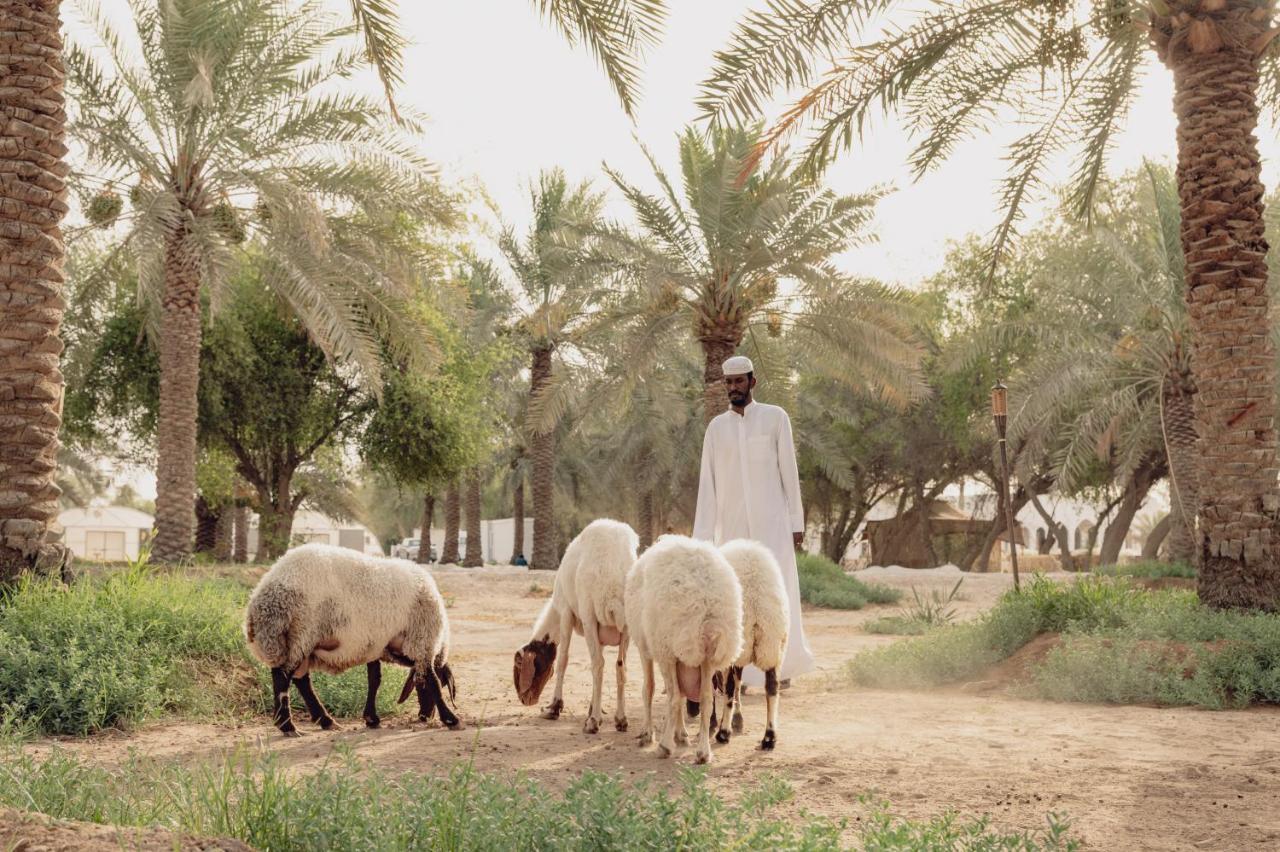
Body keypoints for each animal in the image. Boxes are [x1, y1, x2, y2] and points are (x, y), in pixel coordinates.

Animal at [244, 539, 460, 731]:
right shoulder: (422, 640)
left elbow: (374, 679)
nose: (425, 716)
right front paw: (450, 718)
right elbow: (431, 678)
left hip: (299, 641)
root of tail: (265, 596)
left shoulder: (375, 644)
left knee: (300, 679)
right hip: (302, 633)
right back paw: (287, 725)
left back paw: (325, 721)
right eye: (443, 683)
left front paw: (371, 718)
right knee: (283, 676)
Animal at [512, 514, 637, 731]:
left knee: (598, 664)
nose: (525, 700)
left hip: (589, 614)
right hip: (625, 624)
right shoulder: (600, 632)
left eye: (520, 664)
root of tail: (613, 577)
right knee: (619, 666)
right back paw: (620, 719)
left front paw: (554, 707)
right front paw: (593, 708)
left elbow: (563, 660)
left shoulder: (566, 613)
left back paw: (593, 723)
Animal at [622, 532, 742, 762]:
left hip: (670, 648)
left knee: (674, 698)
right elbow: (686, 693)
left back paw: (665, 746)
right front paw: (681, 734)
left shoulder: (647, 648)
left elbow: (649, 688)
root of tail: (708, 602)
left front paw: (648, 734)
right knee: (706, 700)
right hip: (707, 655)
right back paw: (703, 751)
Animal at [711, 539, 788, 747]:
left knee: (730, 688)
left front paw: (723, 722)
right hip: (773, 644)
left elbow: (727, 686)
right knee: (772, 688)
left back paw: (723, 733)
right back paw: (770, 736)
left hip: (739, 643)